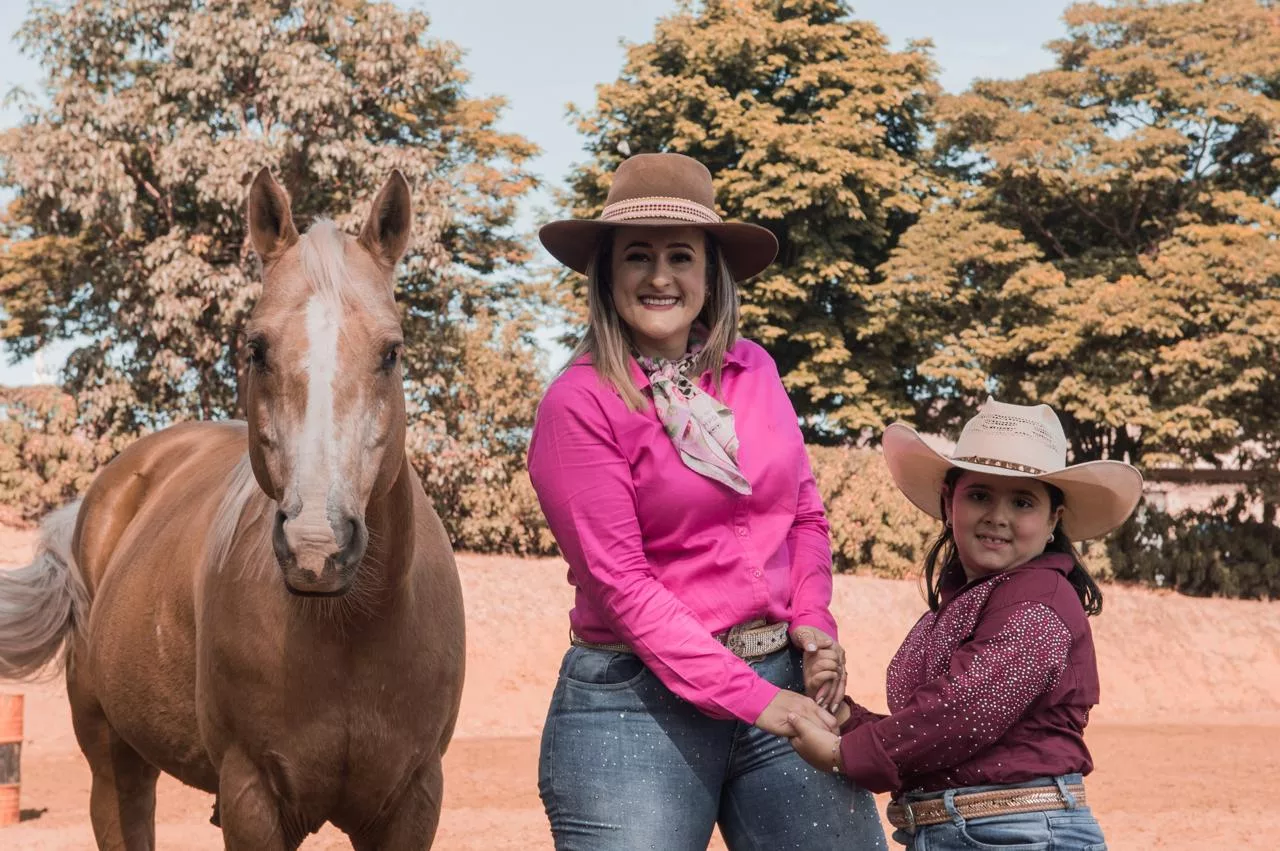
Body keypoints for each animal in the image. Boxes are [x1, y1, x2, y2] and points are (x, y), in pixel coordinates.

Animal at [0, 168, 468, 844]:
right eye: (257, 348)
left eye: (391, 352)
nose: (317, 547)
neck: (351, 629)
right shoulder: (252, 797)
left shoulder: (414, 800)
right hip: (113, 762)